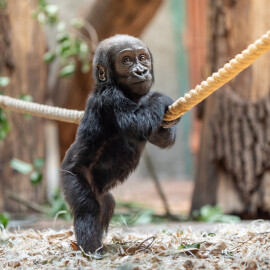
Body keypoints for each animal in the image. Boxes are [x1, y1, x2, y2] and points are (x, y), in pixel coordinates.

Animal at [61, 34, 179, 253]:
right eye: (126, 60)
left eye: (142, 57)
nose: (141, 70)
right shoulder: (110, 98)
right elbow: (138, 122)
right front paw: (160, 97)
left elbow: (157, 137)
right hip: (71, 176)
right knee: (88, 208)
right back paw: (92, 250)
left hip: (101, 191)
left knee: (106, 205)